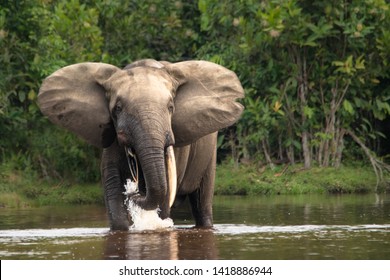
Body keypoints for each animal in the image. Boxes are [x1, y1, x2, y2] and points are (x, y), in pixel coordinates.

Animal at [37, 58, 244, 230]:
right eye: (118, 108)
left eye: (170, 107)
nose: (134, 192)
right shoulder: (112, 138)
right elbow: (113, 189)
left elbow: (164, 194)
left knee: (202, 203)